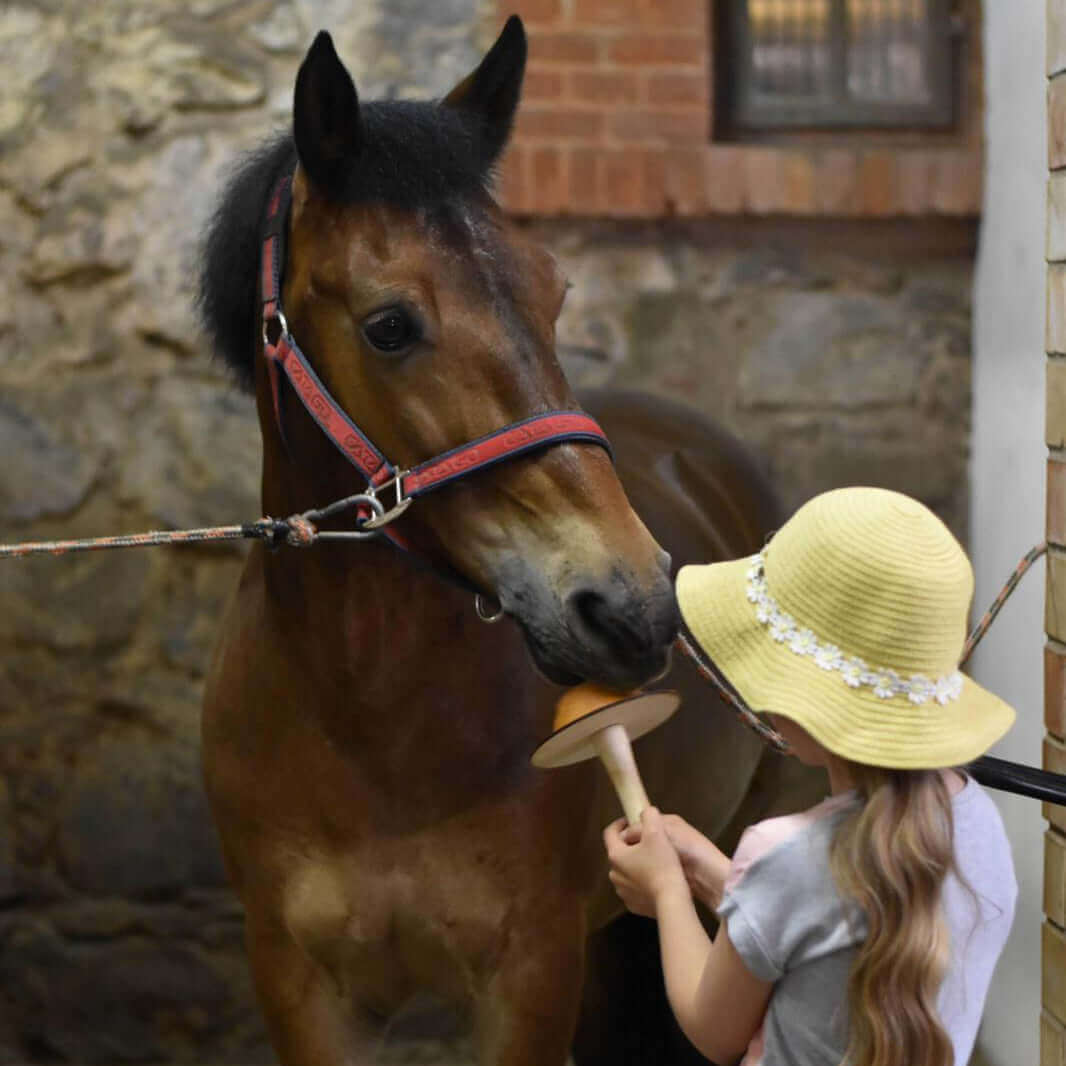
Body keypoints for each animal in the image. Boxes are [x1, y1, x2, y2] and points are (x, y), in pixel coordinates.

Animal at [197, 17, 821, 1065]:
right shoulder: (298, 986)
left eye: (554, 293)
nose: (634, 606)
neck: (369, 722)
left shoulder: (529, 976)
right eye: (390, 325)